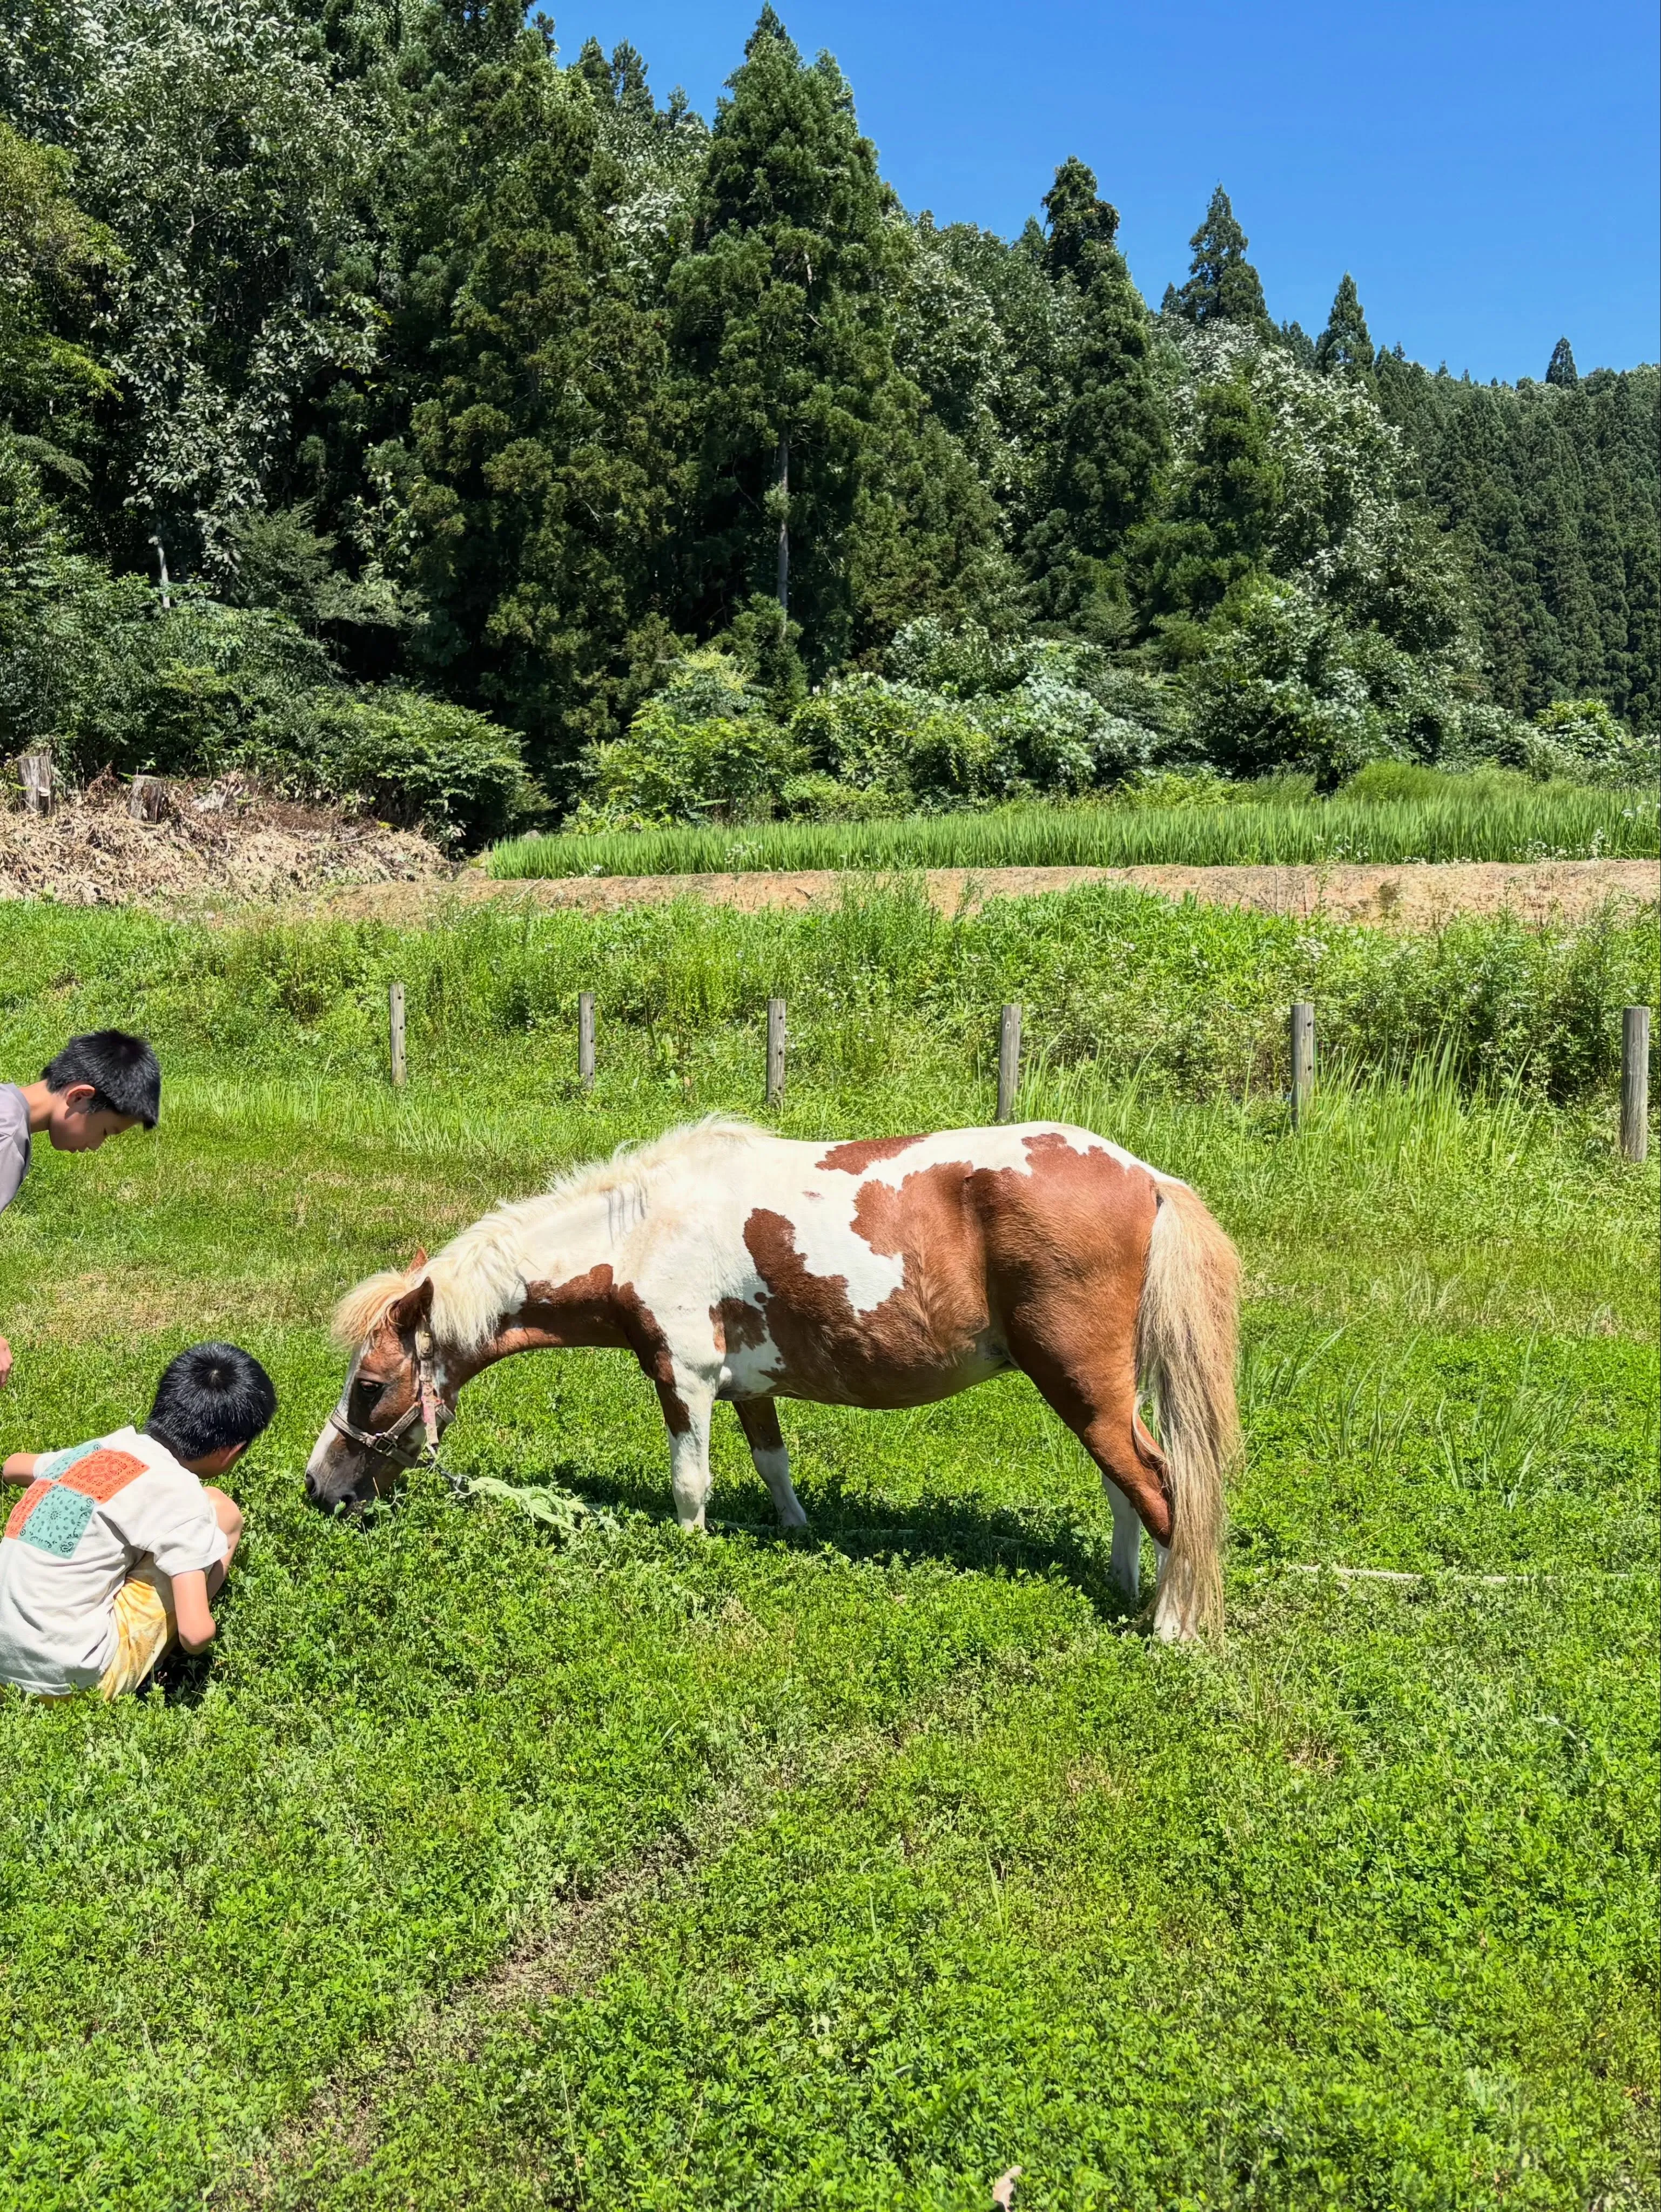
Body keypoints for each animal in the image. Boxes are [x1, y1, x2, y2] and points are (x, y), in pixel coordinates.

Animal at [305, 1119, 1241, 1638]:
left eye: (369, 1389)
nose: (318, 1488)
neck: (639, 1230)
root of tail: (1143, 1177)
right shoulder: (749, 1385)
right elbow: (772, 1467)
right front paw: (795, 1535)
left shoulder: (682, 1376)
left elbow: (690, 1486)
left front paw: (689, 1560)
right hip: (1099, 1393)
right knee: (1124, 1485)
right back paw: (1124, 1587)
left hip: (1077, 1382)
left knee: (1158, 1487)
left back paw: (1169, 1628)